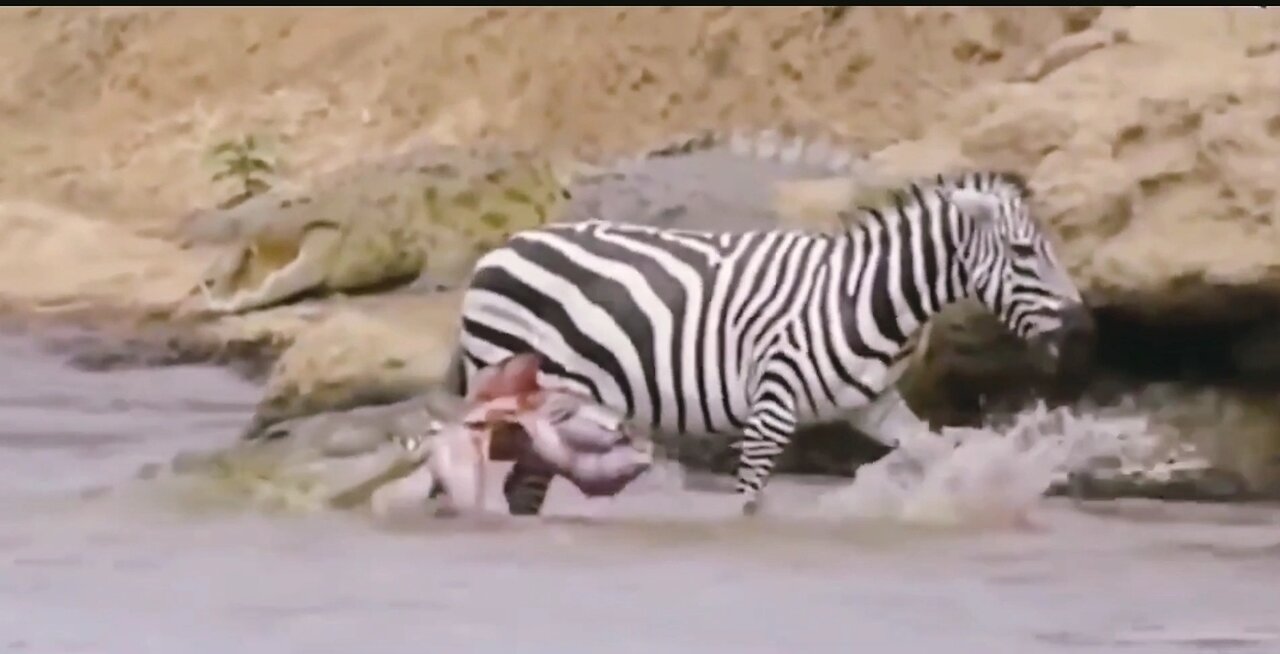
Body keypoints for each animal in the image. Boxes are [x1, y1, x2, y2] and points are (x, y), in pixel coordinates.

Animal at [448, 170, 1090, 517]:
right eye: (1024, 253)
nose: (1082, 330)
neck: (864, 297)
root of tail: (499, 248)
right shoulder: (772, 407)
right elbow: (749, 501)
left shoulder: (873, 406)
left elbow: (933, 450)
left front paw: (967, 496)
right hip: (505, 382)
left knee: (524, 488)